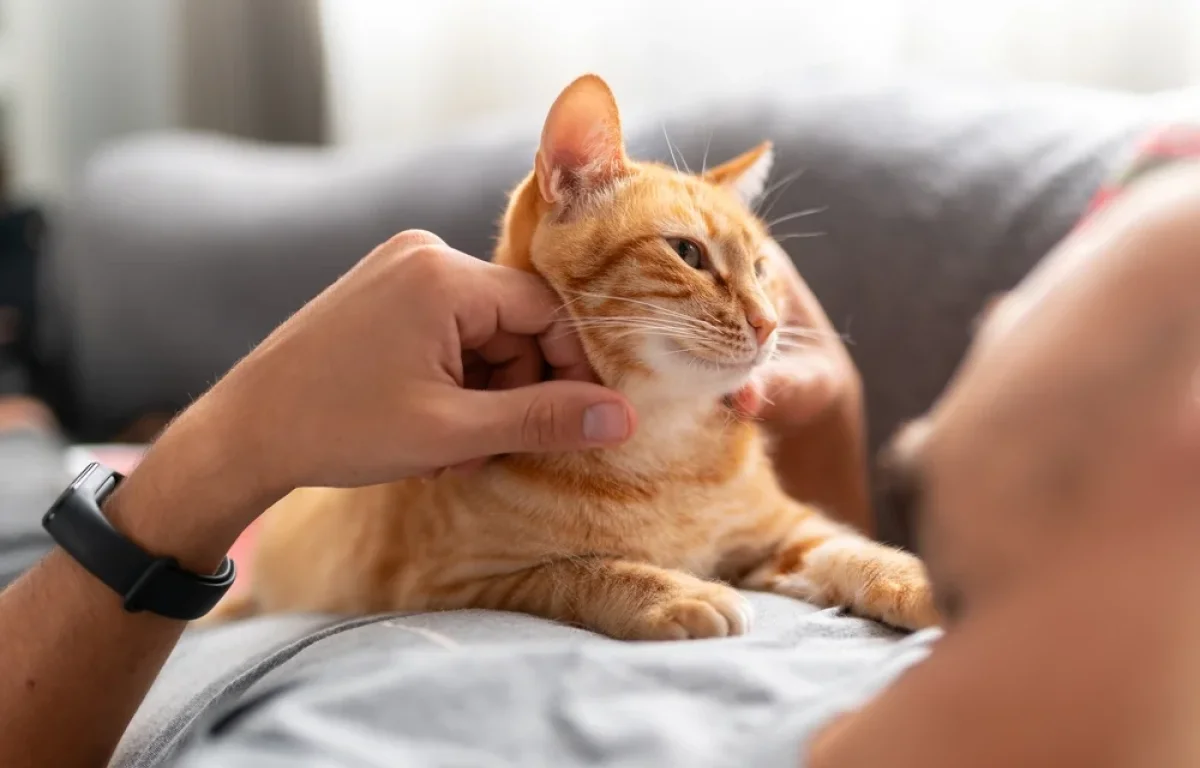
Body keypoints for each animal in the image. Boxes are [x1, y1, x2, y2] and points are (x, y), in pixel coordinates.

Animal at [204, 75, 936, 638]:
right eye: (688, 253)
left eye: (762, 269)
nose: (770, 322)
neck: (664, 453)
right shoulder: (460, 583)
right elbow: (578, 571)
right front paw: (674, 591)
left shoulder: (784, 531)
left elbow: (852, 547)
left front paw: (918, 579)